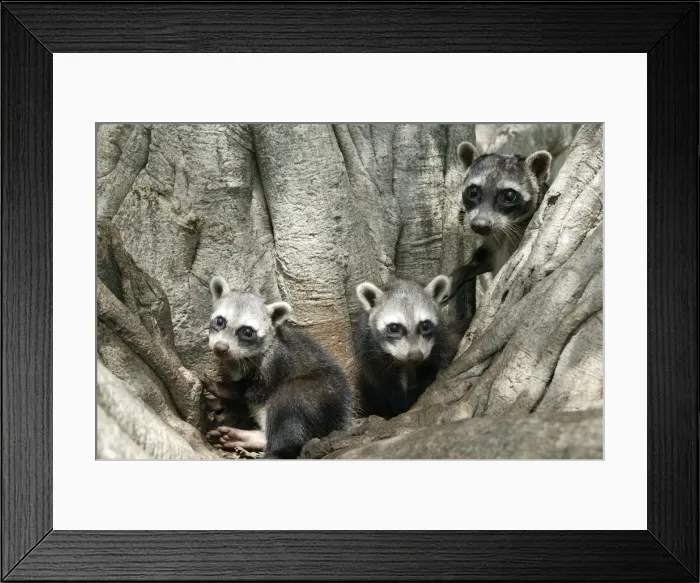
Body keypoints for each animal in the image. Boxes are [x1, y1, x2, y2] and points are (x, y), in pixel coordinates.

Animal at [204, 276, 354, 459]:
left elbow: (254, 391)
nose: (221, 348)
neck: (242, 358)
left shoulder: (277, 359)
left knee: (289, 401)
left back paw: (277, 448)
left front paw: (222, 388)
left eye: (247, 331)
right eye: (220, 321)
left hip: (322, 394)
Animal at [353, 275, 460, 420]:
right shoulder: (372, 351)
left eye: (425, 325)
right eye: (394, 327)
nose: (415, 356)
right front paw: (401, 402)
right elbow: (388, 383)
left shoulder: (444, 336)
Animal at [443, 141, 552, 303]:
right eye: (473, 191)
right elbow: (480, 259)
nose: (480, 225)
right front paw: (454, 276)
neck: (505, 232)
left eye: (509, 195)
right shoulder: (492, 243)